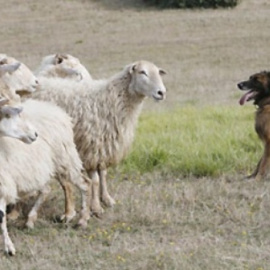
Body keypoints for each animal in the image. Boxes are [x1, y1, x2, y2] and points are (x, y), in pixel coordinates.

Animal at [0, 97, 92, 255]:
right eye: (7, 115)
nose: (35, 134)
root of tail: (56, 110)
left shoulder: (3, 184)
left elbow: (1, 217)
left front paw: (9, 247)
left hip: (64, 158)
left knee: (85, 183)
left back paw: (82, 220)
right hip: (41, 168)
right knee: (47, 190)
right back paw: (31, 220)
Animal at [31, 60, 167, 215]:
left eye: (158, 72)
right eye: (142, 72)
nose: (162, 93)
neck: (111, 99)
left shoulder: (105, 146)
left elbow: (104, 174)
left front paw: (107, 199)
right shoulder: (91, 148)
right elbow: (95, 179)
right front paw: (95, 207)